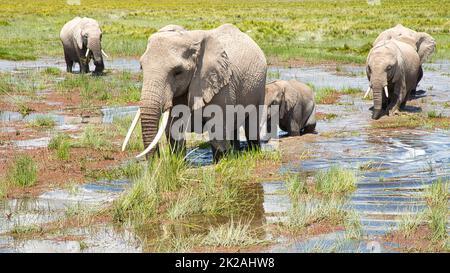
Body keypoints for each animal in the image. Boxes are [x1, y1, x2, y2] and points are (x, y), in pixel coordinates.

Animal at [121, 23, 268, 162]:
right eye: (141, 67)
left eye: (178, 72)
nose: (156, 161)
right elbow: (174, 126)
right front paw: (179, 164)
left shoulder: (221, 84)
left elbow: (217, 126)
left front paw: (221, 163)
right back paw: (236, 153)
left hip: (259, 86)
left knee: (252, 121)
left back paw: (253, 152)